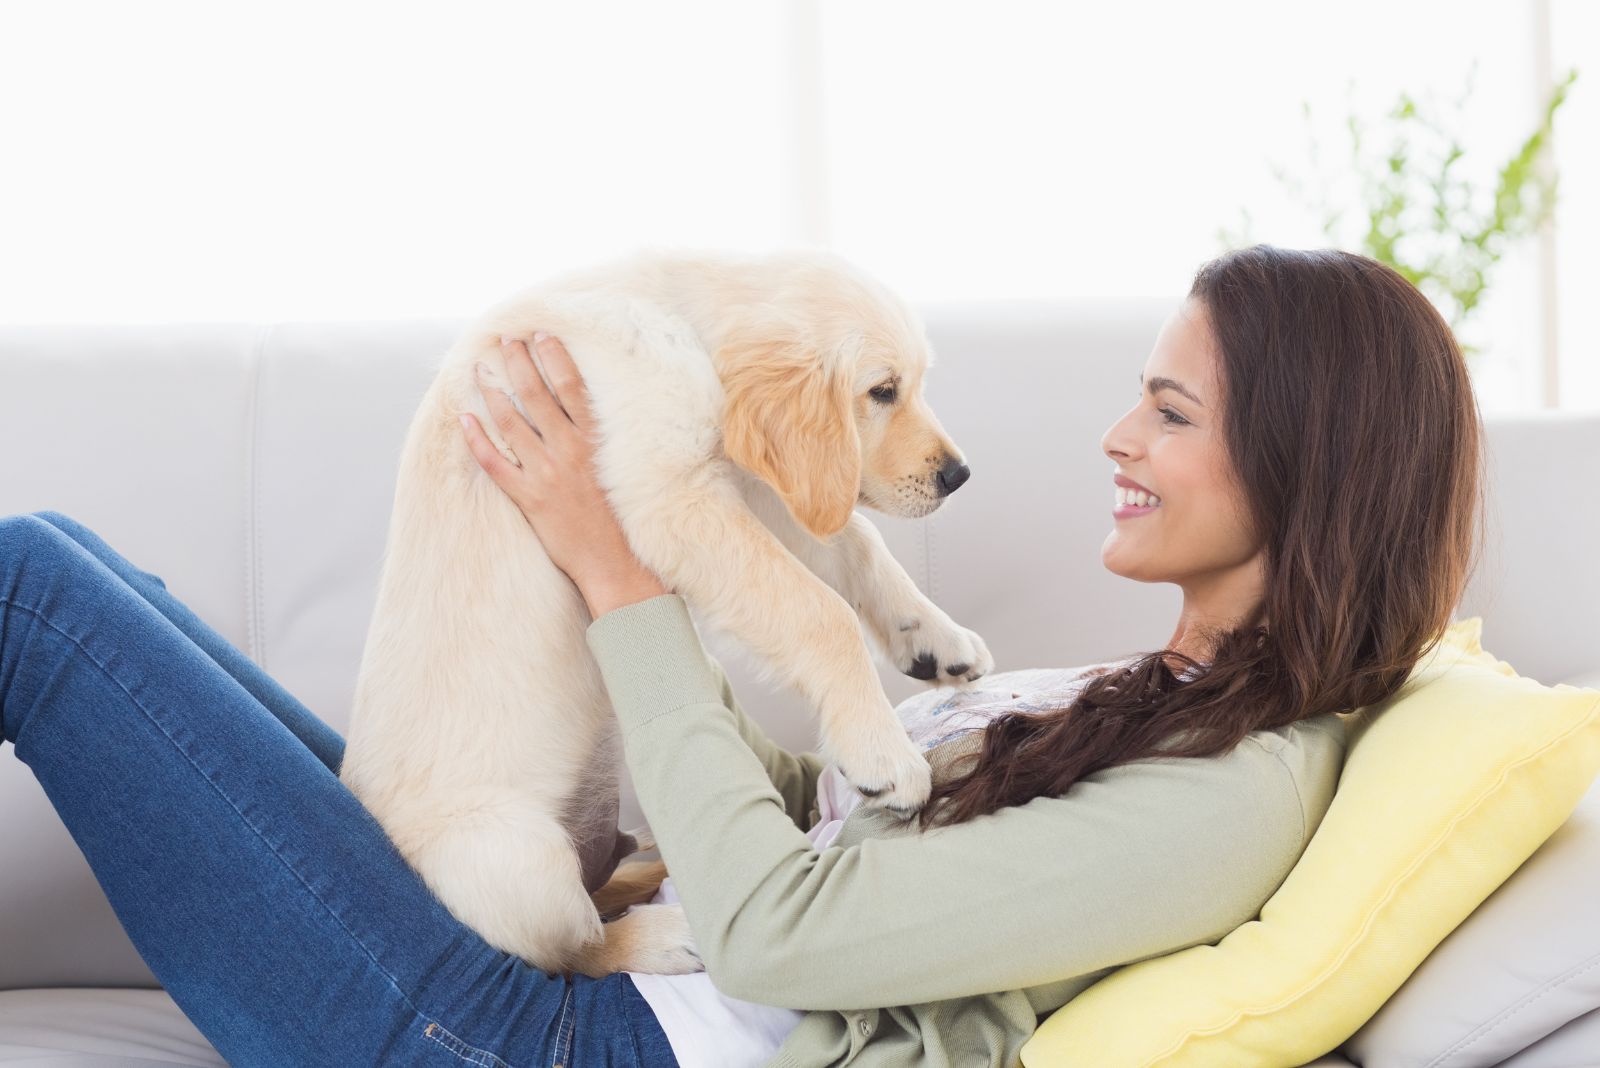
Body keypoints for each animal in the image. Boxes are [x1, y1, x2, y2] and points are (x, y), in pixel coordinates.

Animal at [337, 247, 985, 978]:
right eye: (882, 390)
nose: (959, 475)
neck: (681, 320)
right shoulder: (674, 501)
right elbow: (821, 611)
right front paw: (881, 751)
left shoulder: (751, 485)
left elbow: (859, 545)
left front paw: (937, 639)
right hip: (515, 861)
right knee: (576, 949)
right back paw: (664, 934)